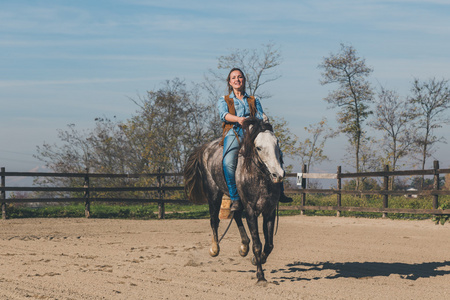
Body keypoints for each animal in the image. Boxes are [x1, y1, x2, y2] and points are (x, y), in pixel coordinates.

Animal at [184, 117, 284, 284]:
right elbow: (258, 244)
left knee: (236, 214)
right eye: (258, 148)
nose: (278, 174)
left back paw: (244, 247)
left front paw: (258, 260)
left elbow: (269, 245)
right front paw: (260, 276)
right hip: (214, 195)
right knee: (214, 220)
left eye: (277, 143)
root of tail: (205, 148)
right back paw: (215, 248)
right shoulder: (251, 211)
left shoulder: (269, 211)